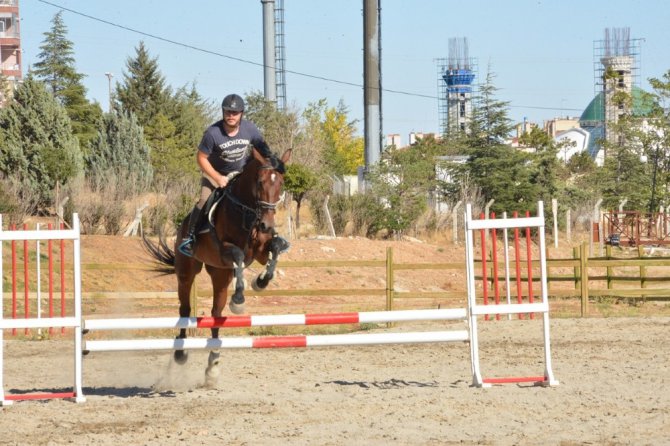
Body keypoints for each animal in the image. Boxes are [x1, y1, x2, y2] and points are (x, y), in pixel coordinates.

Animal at [144, 147, 292, 380]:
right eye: (260, 182)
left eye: (281, 183)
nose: (266, 225)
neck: (247, 211)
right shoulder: (225, 250)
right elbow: (239, 256)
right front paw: (239, 299)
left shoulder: (260, 250)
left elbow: (275, 248)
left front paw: (260, 282)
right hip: (187, 273)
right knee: (185, 309)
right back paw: (180, 353)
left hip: (220, 275)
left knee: (216, 314)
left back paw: (213, 364)